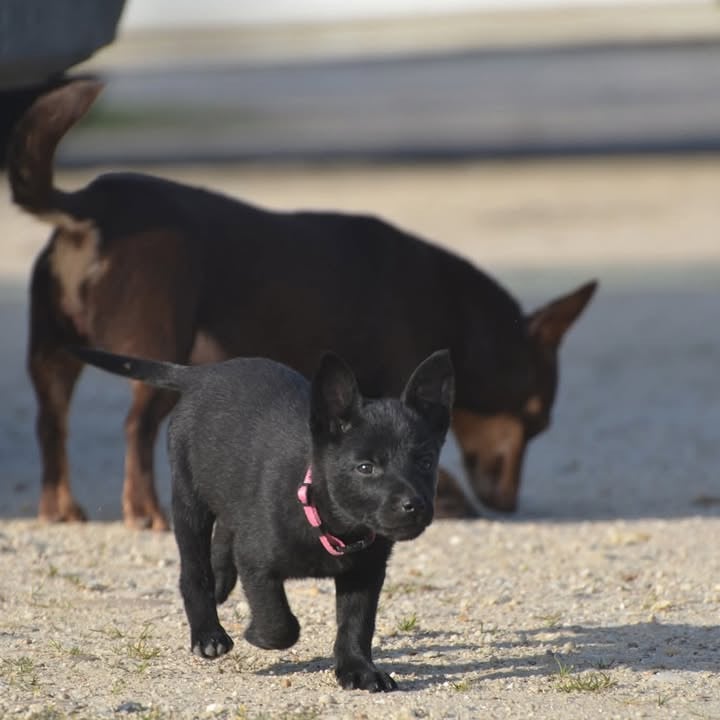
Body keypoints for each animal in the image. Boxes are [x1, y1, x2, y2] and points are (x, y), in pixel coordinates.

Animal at [8, 79, 597, 529]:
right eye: (536, 421)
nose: (509, 503)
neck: (457, 312)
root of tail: (90, 207)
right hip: (158, 355)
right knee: (135, 429)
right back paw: (145, 510)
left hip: (51, 356)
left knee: (50, 424)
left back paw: (58, 507)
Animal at [71, 345, 454, 692]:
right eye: (365, 467)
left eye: (425, 462)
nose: (414, 505)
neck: (327, 521)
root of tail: (202, 374)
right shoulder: (257, 562)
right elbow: (279, 624)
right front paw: (256, 633)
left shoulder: (365, 573)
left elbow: (356, 625)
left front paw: (358, 670)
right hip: (189, 500)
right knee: (193, 572)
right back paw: (208, 633)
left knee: (225, 534)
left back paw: (221, 582)